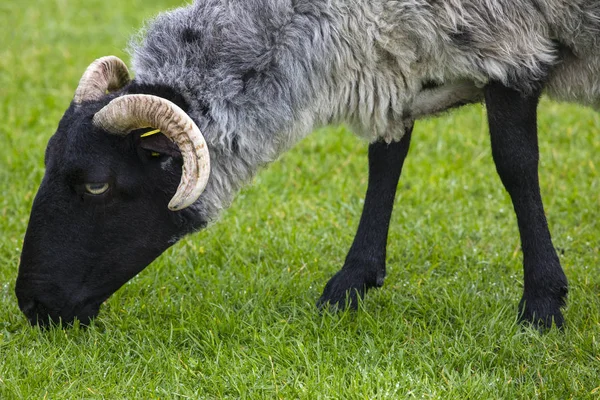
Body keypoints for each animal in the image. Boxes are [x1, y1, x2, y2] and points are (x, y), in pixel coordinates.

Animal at [15, 0, 600, 328]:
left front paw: (543, 304)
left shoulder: (512, 47)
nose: (32, 305)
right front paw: (352, 283)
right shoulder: (397, 67)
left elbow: (515, 165)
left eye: (96, 186)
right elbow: (385, 157)